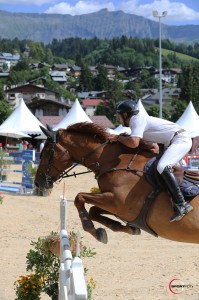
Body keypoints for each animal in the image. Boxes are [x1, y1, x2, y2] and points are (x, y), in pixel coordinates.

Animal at [35, 122, 199, 244]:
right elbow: (93, 210)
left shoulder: (118, 203)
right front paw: (126, 229)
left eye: (47, 150)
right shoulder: (117, 206)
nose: (38, 183)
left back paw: (181, 209)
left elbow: (79, 197)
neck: (114, 161)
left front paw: (92, 229)